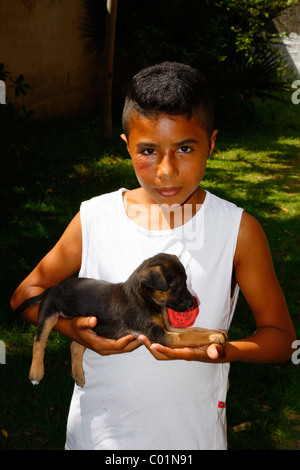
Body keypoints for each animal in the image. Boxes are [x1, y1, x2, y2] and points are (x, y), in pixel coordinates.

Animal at [12, 253, 227, 386]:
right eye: (175, 286)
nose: (192, 304)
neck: (144, 298)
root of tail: (51, 288)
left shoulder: (168, 327)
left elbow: (195, 330)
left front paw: (216, 333)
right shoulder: (160, 334)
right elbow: (189, 336)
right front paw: (214, 337)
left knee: (75, 346)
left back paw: (78, 375)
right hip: (48, 313)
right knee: (39, 340)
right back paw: (36, 372)